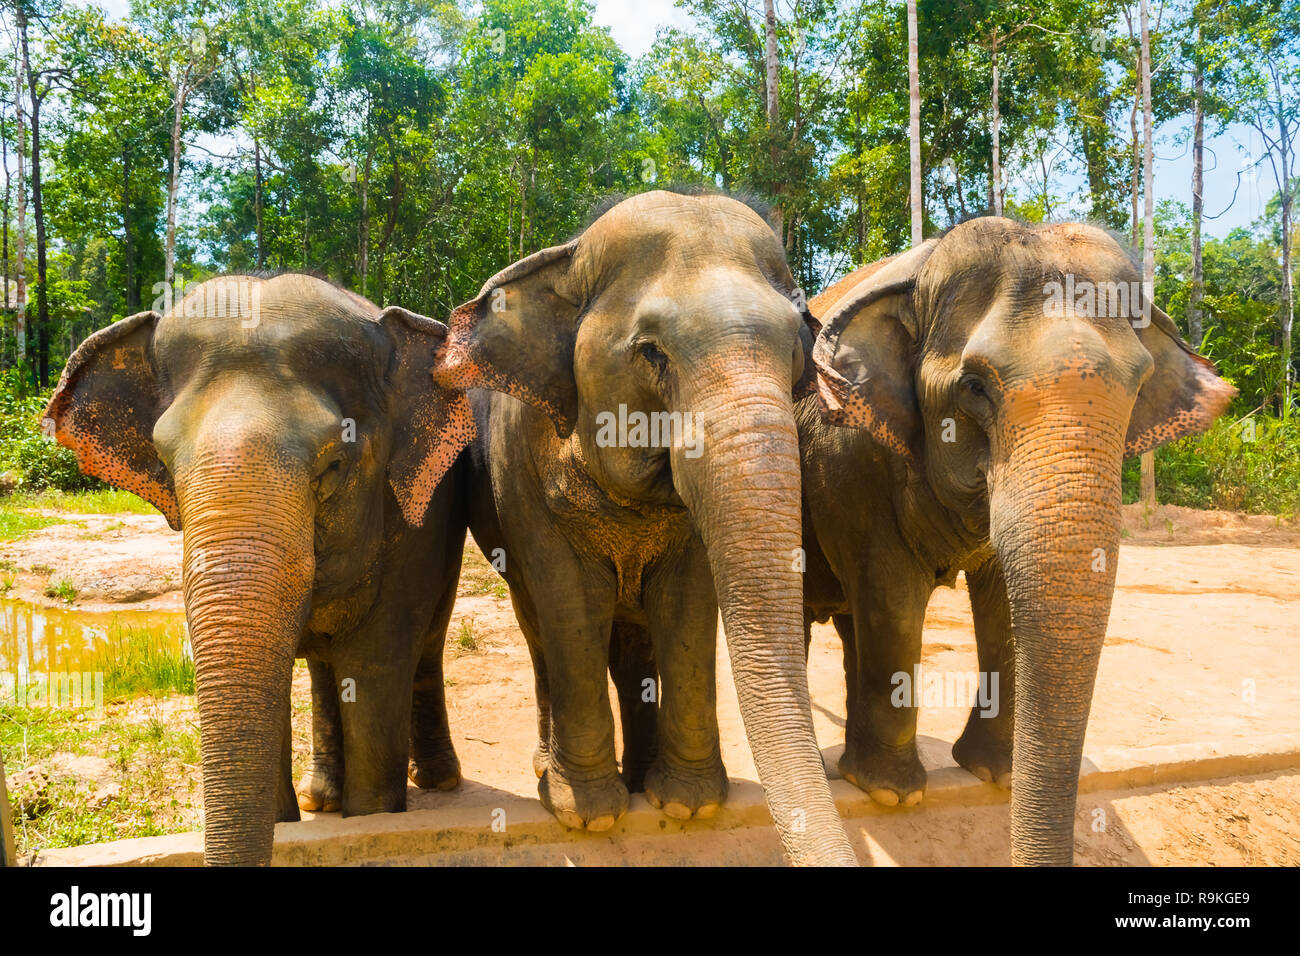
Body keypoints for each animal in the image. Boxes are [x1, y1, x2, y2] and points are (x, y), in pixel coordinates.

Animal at [43, 270, 475, 868]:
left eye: (333, 465)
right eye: (163, 462)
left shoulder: (415, 525)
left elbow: (377, 662)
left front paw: (372, 817)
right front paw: (291, 821)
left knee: (425, 642)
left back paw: (437, 782)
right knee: (323, 667)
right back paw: (322, 798)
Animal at [434, 188, 863, 868]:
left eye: (797, 351)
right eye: (652, 353)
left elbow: (687, 601)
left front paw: (686, 804)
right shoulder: (523, 476)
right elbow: (571, 602)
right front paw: (586, 815)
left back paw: (639, 776)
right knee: (539, 632)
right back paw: (550, 769)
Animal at [795, 218, 1232, 868]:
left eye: (1138, 387)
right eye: (975, 386)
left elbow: (1003, 603)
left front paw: (996, 775)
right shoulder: (850, 456)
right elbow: (891, 595)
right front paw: (893, 795)